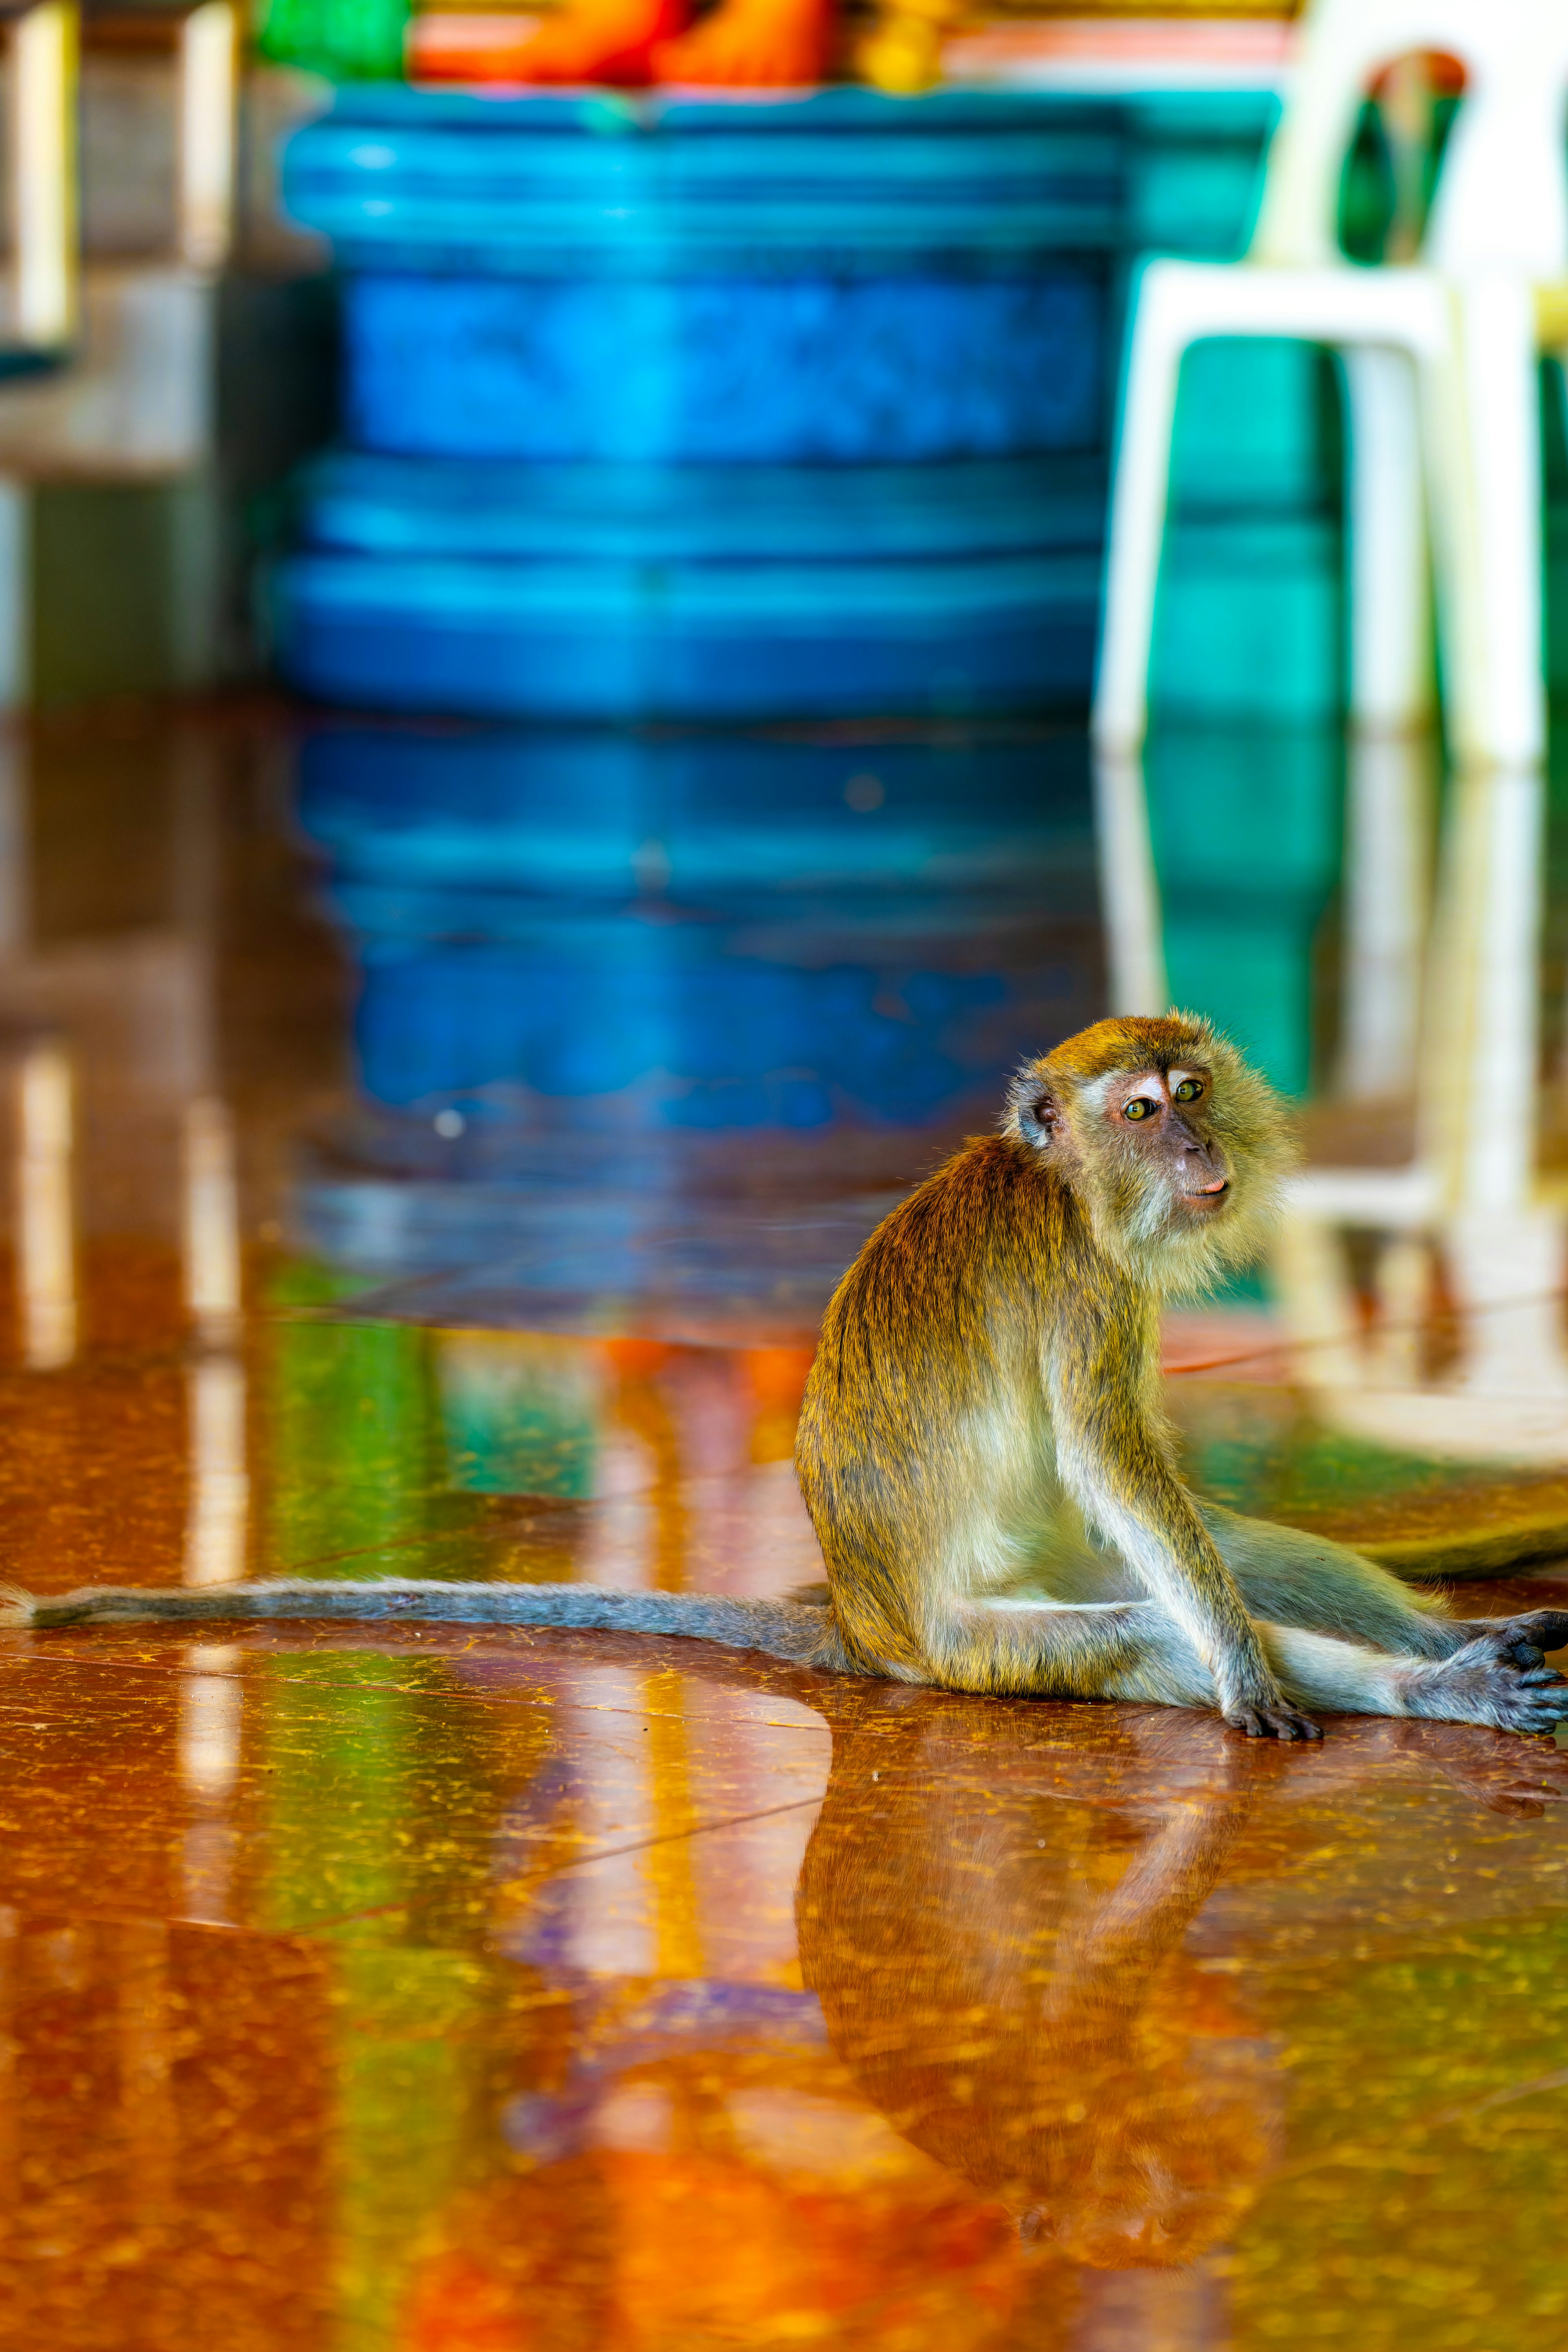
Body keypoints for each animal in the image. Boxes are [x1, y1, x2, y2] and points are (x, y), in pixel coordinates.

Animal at [12, 1011, 1568, 1750]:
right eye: (1142, 1111)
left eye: (1191, 1093)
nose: (1194, 1150)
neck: (1057, 1180)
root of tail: (859, 1617)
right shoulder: (1079, 1283)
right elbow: (1120, 1471)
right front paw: (1250, 1673)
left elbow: (1177, 1513)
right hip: (980, 1643)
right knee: (1145, 1621)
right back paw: (1431, 1692)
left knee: (1233, 1559)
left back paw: (1453, 1651)